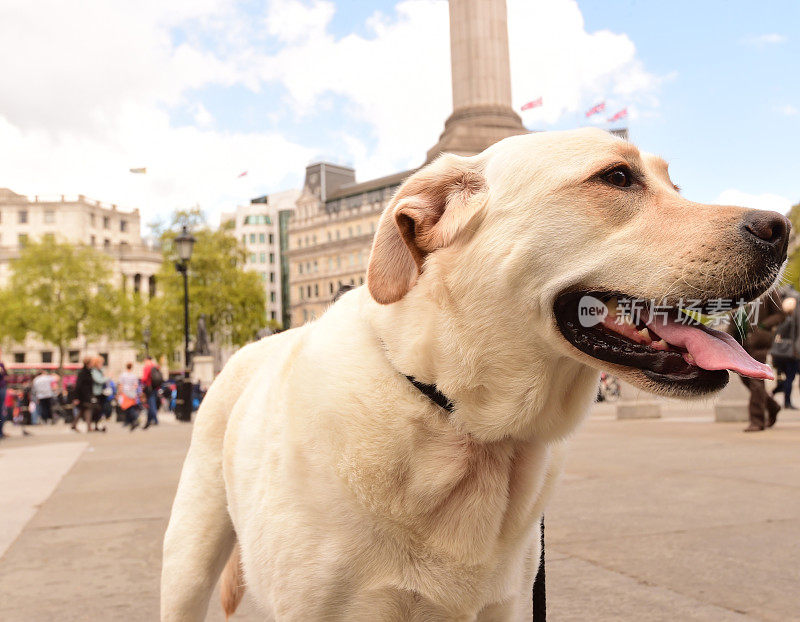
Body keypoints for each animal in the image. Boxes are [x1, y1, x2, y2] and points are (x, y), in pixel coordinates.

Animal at [161, 129, 788, 620]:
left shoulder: (502, 605)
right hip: (188, 558)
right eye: (616, 177)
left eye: (672, 184)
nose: (781, 227)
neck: (465, 426)